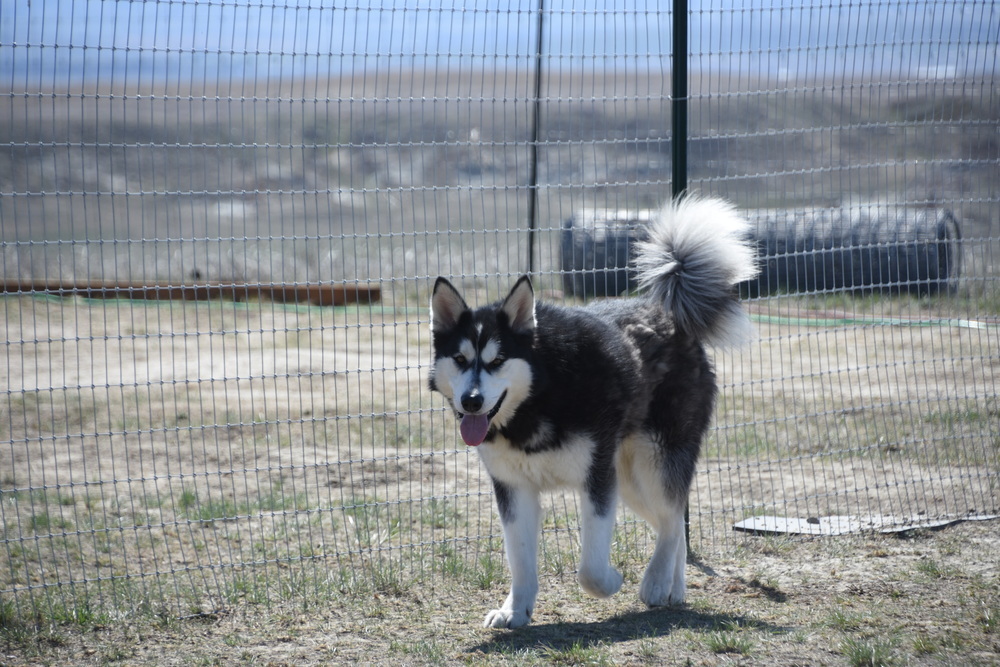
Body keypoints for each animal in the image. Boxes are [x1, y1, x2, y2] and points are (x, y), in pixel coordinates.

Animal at [430, 196, 756, 628]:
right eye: (460, 359)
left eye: (497, 360)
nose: (471, 401)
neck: (539, 397)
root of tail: (668, 313)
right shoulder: (514, 489)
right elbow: (521, 561)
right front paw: (515, 610)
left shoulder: (597, 482)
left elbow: (590, 570)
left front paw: (613, 581)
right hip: (630, 479)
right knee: (671, 522)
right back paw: (675, 586)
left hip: (652, 463)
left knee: (672, 521)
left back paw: (656, 583)